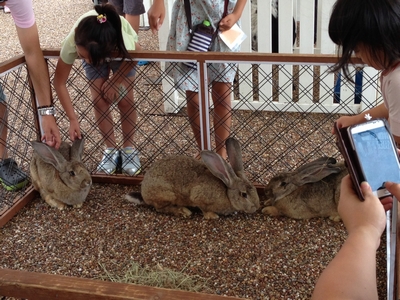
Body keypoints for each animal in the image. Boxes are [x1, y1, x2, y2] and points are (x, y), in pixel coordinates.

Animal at [126, 137, 260, 219]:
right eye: (244, 194)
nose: (256, 207)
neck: (227, 193)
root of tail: (144, 193)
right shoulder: (198, 196)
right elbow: (202, 207)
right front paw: (212, 216)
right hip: (166, 194)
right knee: (160, 208)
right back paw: (183, 211)